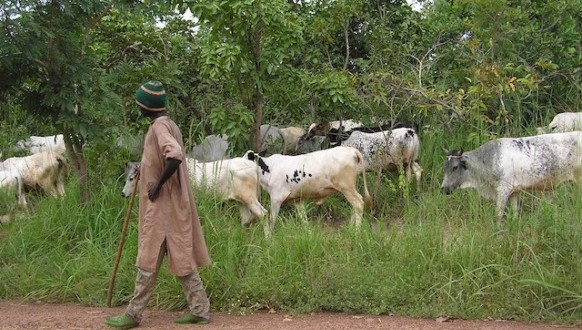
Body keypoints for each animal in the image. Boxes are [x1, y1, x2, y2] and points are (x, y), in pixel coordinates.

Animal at [125, 157, 270, 227]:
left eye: (131, 178)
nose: (123, 193)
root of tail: (254, 167)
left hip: (249, 198)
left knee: (263, 214)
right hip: (240, 201)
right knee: (246, 221)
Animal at [243, 147, 372, 237]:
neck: (269, 169)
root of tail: (351, 150)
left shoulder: (276, 198)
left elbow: (272, 219)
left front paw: (270, 235)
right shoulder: (297, 199)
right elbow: (303, 218)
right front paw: (308, 234)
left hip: (347, 187)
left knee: (358, 203)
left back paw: (356, 231)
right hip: (348, 189)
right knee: (356, 203)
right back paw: (350, 228)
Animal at [442, 131, 582, 232]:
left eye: (455, 167)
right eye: (445, 167)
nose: (443, 189)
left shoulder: (503, 190)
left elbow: (499, 214)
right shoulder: (514, 191)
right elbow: (515, 212)